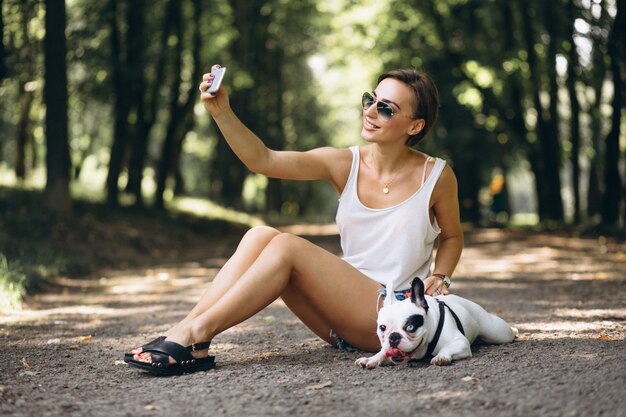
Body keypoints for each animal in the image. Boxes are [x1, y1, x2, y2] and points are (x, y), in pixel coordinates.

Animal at [354, 276, 516, 368]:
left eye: (411, 327)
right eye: (382, 328)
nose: (393, 337)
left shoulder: (460, 342)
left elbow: (448, 347)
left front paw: (441, 357)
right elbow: (382, 353)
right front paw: (371, 359)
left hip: (497, 332)